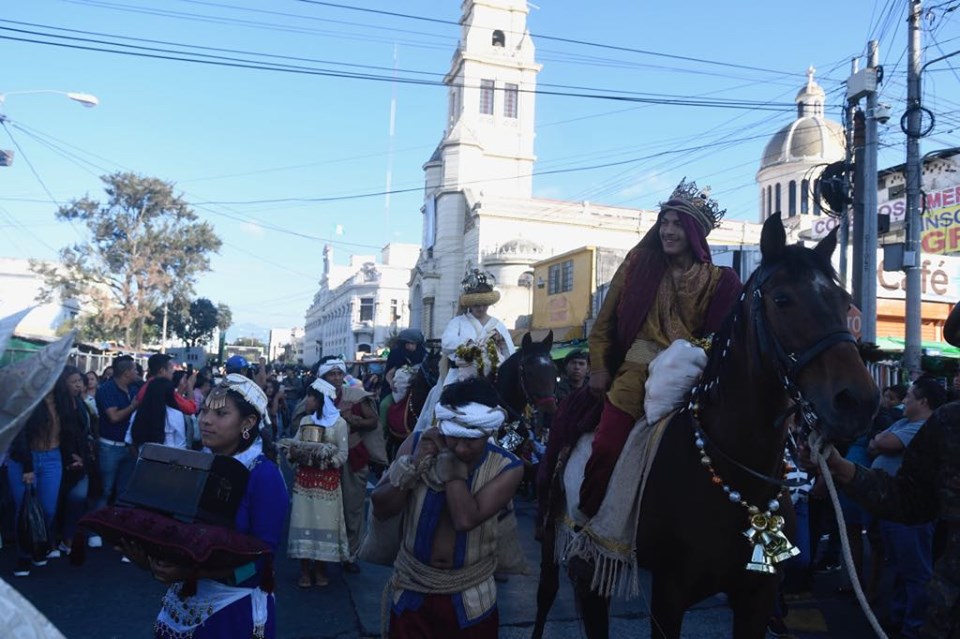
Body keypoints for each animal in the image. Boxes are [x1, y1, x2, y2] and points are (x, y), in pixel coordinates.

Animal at [536, 215, 880, 639]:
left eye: (845, 301)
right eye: (782, 299)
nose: (858, 402)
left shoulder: (757, 594)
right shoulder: (670, 593)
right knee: (550, 596)